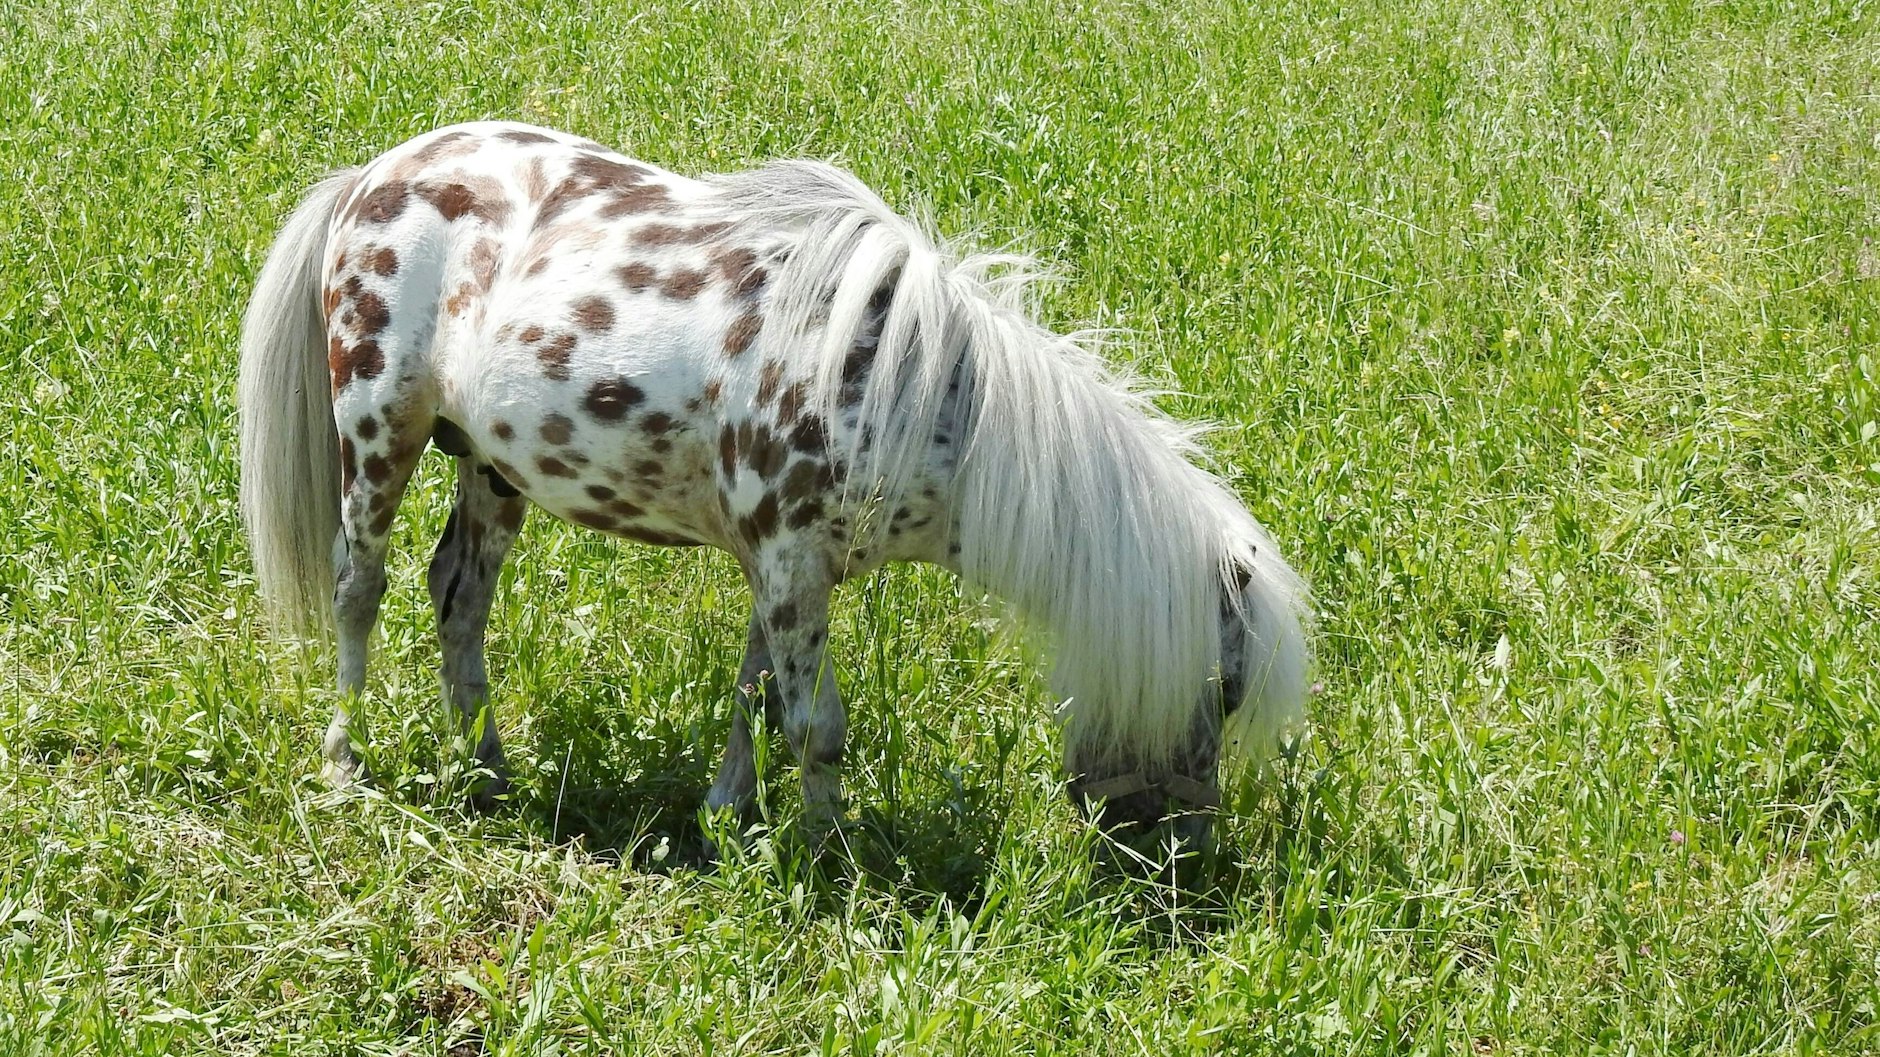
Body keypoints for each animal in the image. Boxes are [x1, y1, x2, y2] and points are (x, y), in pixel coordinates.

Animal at [237, 121, 1310, 852]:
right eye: (1223, 690)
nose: (1178, 851)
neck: (910, 390)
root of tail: (376, 174)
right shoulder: (791, 566)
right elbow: (817, 727)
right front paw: (832, 858)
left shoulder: (788, 568)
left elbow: (754, 695)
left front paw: (728, 818)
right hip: (379, 432)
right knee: (360, 589)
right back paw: (343, 762)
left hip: (492, 465)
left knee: (459, 598)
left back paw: (490, 772)